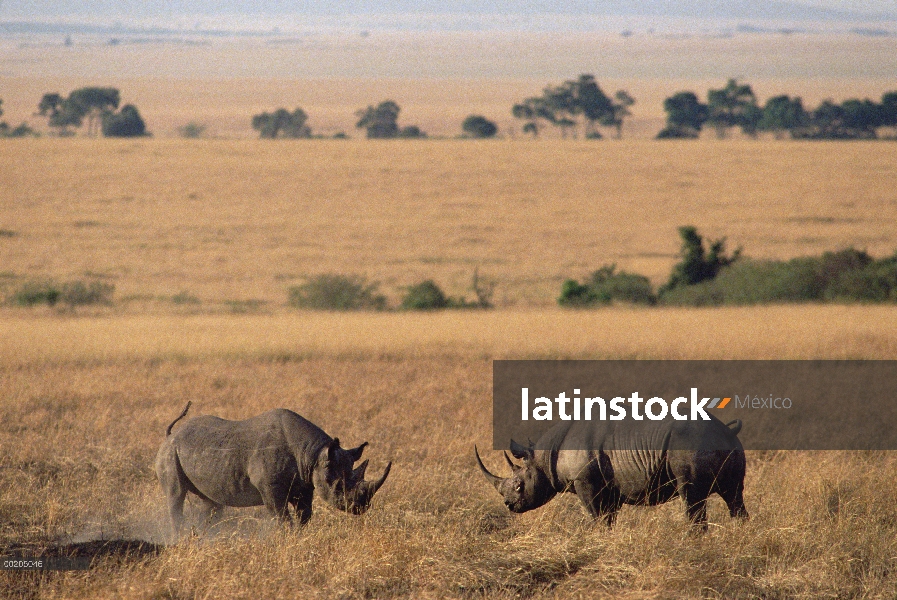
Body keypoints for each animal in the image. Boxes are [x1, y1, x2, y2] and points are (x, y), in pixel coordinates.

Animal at [155, 404, 392, 536]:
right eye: (337, 485)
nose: (360, 508)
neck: (313, 454)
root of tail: (170, 435)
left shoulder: (305, 484)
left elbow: (305, 515)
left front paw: (299, 538)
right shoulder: (270, 487)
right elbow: (282, 517)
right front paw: (285, 539)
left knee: (212, 502)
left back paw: (206, 538)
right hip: (170, 453)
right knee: (176, 495)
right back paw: (180, 537)